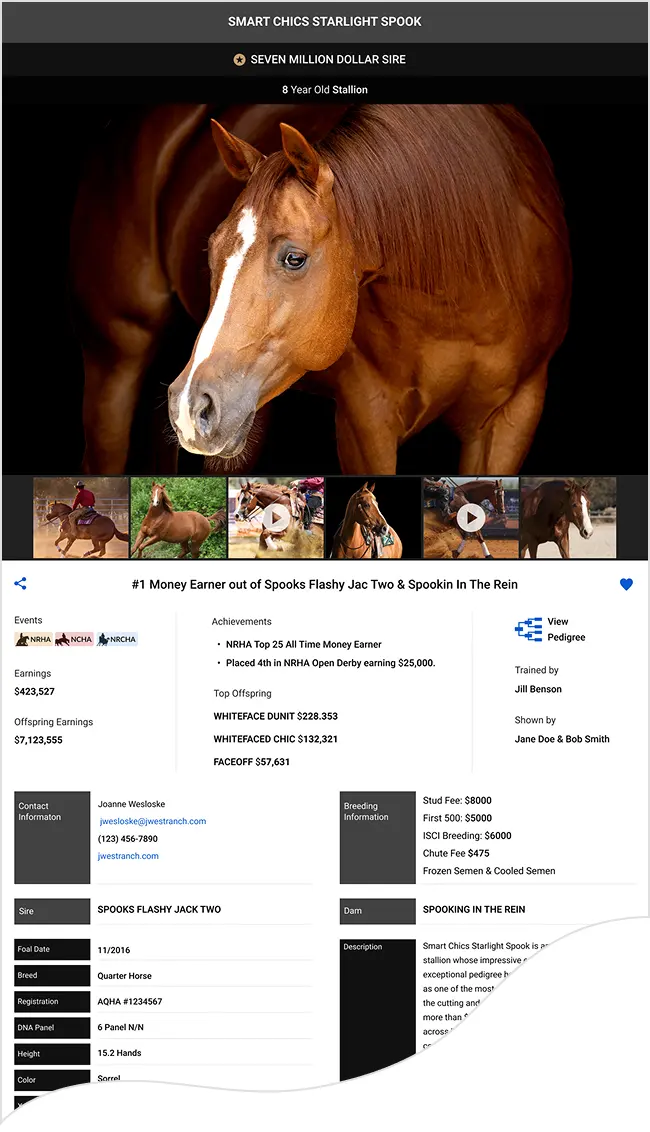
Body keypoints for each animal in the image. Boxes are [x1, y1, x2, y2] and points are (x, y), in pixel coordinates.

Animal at [73, 105, 570, 476]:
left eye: (294, 258)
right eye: (212, 250)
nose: (190, 407)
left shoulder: (513, 416)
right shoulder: (365, 419)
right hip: (116, 358)